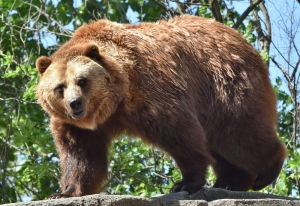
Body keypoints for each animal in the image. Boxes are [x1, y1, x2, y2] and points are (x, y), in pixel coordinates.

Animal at [35, 14, 286, 198]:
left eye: (82, 81)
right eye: (60, 87)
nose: (75, 103)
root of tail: (242, 40)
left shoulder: (149, 91)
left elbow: (180, 133)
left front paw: (185, 183)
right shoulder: (78, 126)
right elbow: (81, 155)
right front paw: (65, 192)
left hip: (225, 86)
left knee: (237, 132)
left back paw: (265, 173)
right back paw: (230, 182)